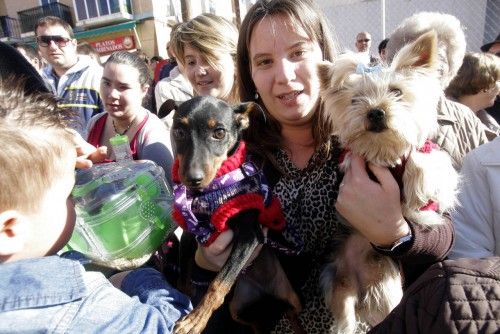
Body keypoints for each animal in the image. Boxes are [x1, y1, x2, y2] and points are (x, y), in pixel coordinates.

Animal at [172, 96, 300, 334]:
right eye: (178, 131)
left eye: (219, 133)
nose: (192, 178)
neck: (212, 191)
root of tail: (264, 291)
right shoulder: (190, 233)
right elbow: (184, 275)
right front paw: (183, 300)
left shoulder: (251, 235)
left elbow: (218, 282)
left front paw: (195, 320)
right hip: (238, 308)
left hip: (292, 296)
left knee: (293, 312)